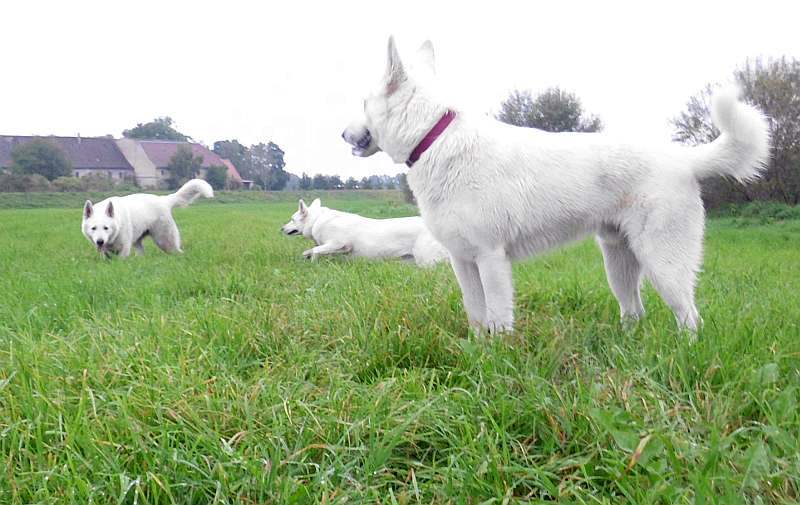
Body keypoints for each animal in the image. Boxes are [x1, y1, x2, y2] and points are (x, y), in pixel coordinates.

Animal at [80, 178, 216, 258]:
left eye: (106, 228)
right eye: (93, 228)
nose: (100, 241)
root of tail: (163, 200)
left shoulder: (124, 249)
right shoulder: (106, 252)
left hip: (164, 241)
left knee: (178, 252)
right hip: (138, 242)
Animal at [280, 198, 450, 268]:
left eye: (292, 219)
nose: (281, 228)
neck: (317, 220)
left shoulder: (340, 244)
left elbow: (315, 250)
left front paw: (312, 261)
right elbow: (311, 250)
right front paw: (308, 257)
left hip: (426, 260)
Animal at [340, 37, 772, 332]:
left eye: (362, 103)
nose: (342, 134)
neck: (436, 138)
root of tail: (682, 159)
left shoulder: (491, 259)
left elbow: (498, 319)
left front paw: (498, 358)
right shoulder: (464, 262)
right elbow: (476, 316)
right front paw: (478, 353)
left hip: (663, 263)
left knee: (690, 317)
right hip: (618, 263)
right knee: (635, 311)